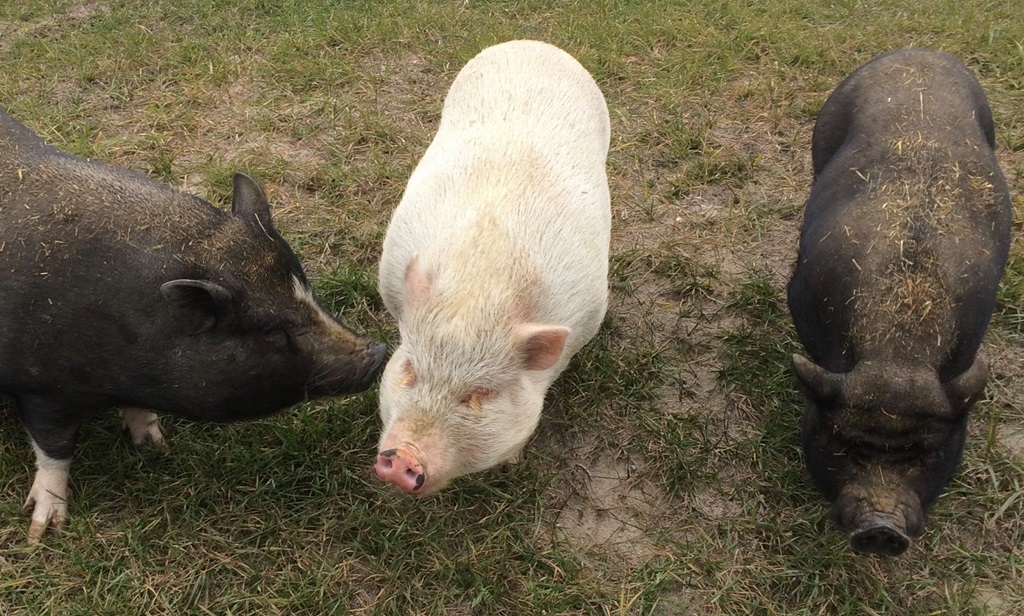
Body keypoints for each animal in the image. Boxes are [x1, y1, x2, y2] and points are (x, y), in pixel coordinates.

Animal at [0, 107, 387, 542]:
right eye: (272, 331)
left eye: (308, 291)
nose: (378, 352)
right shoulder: (40, 386)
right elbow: (55, 450)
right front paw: (42, 531)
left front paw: (155, 445)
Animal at [373, 40, 610, 495]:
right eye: (410, 370)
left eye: (480, 393)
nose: (401, 459)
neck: (482, 286)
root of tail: (531, 43)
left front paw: (512, 463)